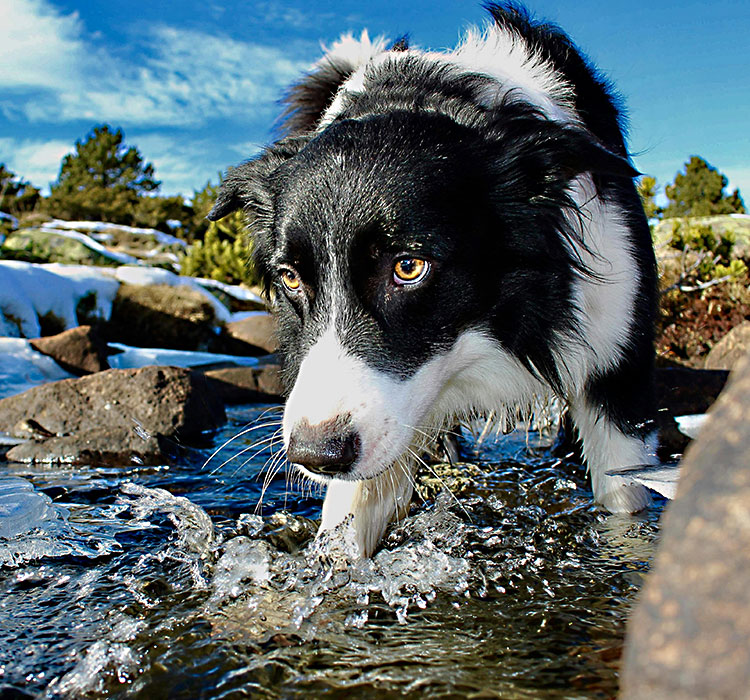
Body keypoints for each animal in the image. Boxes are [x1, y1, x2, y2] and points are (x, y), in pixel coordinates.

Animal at [209, 1, 660, 556]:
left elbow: (625, 505)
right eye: (291, 278)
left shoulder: (615, 359)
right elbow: (346, 527)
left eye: (409, 267)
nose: (315, 455)